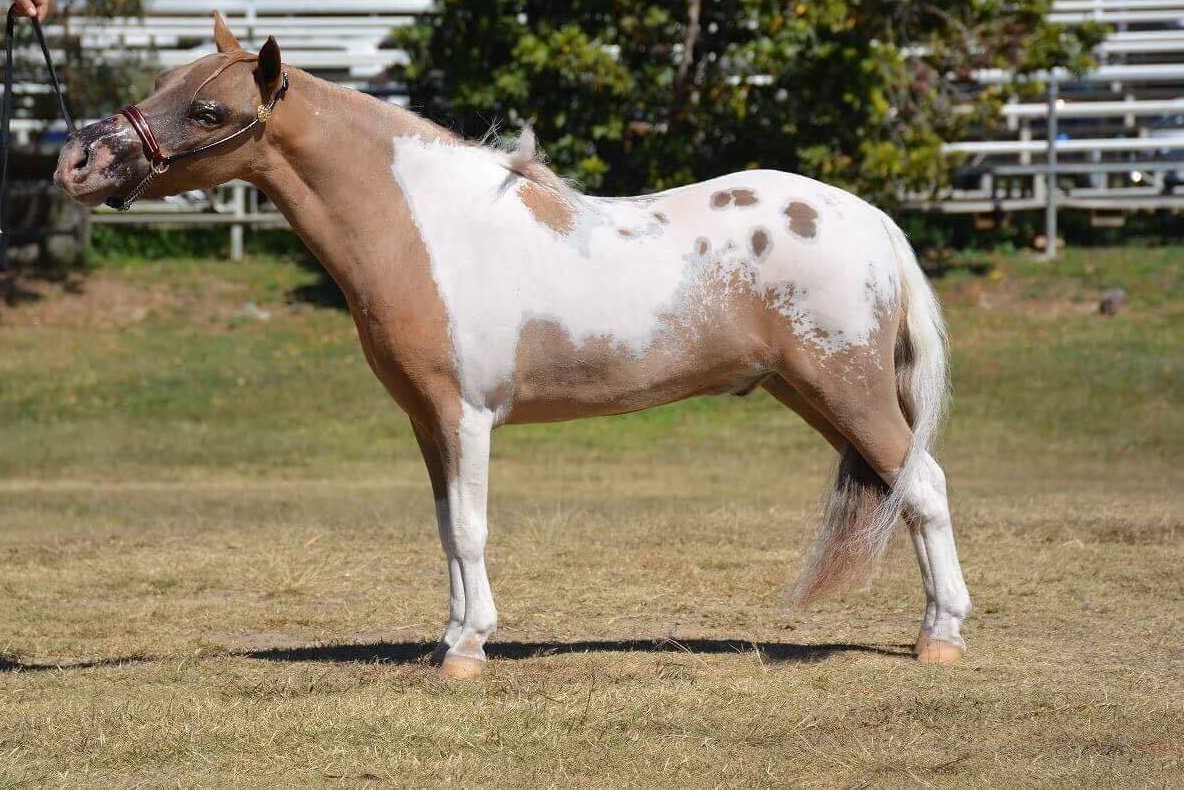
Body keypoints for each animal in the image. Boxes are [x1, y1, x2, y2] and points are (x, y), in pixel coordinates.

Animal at [54, 15, 971, 679]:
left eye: (208, 111)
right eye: (161, 86)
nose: (76, 161)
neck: (426, 227)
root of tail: (870, 219)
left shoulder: (465, 416)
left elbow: (470, 527)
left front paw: (467, 652)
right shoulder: (427, 422)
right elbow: (444, 528)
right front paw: (451, 637)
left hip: (847, 390)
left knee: (924, 486)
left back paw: (941, 637)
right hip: (812, 396)